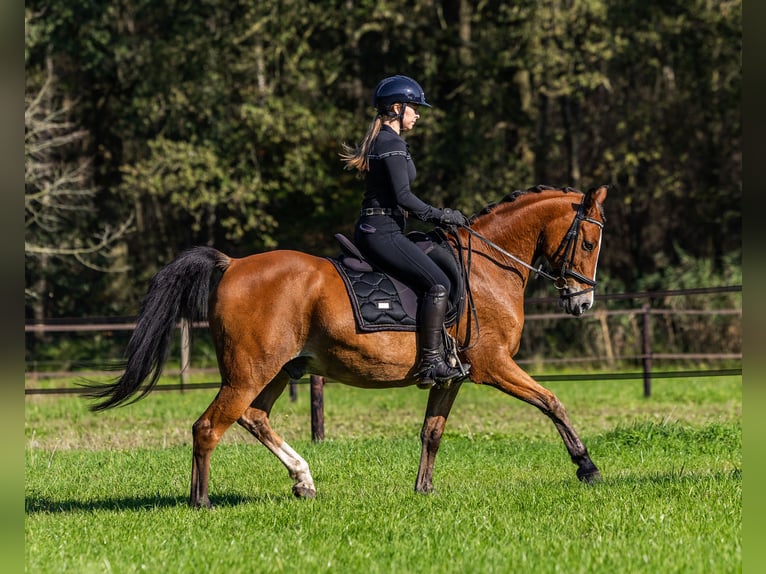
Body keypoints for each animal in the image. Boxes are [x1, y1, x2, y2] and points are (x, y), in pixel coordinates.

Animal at [87, 184, 608, 508]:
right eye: (587, 241)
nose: (581, 302)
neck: (486, 268)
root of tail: (232, 263)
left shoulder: (452, 377)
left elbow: (432, 432)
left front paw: (423, 489)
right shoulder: (494, 365)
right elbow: (552, 402)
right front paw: (586, 466)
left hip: (279, 369)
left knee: (254, 418)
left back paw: (304, 480)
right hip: (248, 371)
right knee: (209, 427)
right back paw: (202, 502)